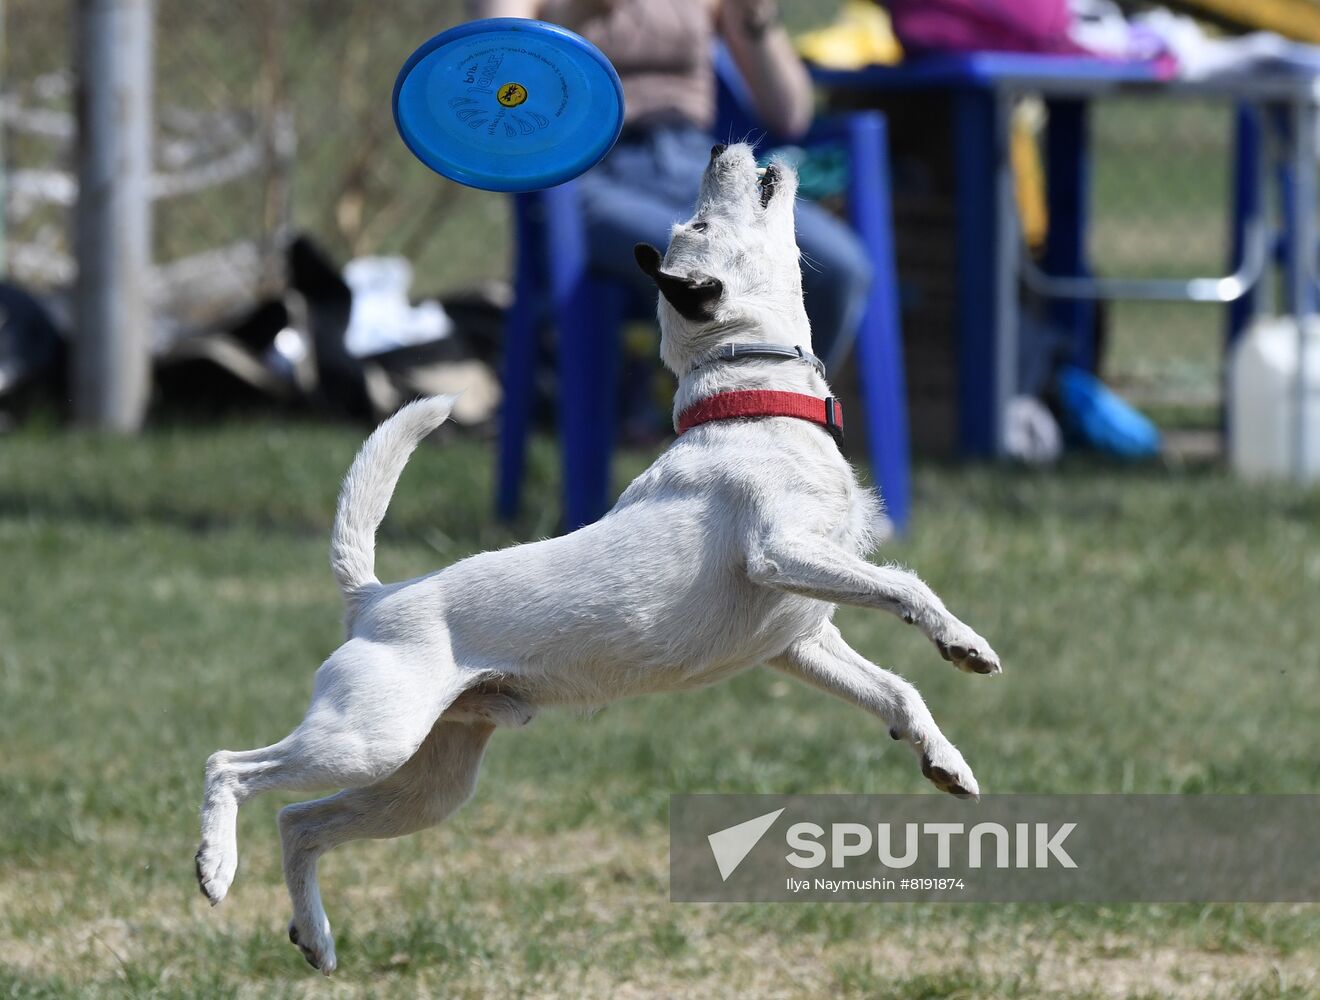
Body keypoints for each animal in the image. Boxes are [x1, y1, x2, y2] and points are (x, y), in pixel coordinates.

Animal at [195, 145, 997, 976]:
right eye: (697, 224)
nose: (722, 150)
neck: (751, 406)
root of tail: (375, 599)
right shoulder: (781, 555)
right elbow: (905, 587)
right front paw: (962, 641)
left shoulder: (798, 641)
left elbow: (897, 692)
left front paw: (943, 758)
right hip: (363, 741)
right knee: (231, 767)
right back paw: (215, 868)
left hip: (424, 783)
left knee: (298, 822)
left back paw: (315, 936)